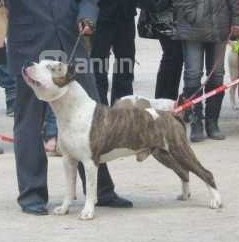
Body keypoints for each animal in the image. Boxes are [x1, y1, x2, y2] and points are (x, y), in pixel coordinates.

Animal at [22, 60, 222, 219]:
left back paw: (216, 201)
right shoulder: (68, 160)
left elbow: (91, 190)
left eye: (50, 67)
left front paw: (87, 212)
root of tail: (172, 114)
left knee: (205, 173)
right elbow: (69, 189)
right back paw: (186, 195)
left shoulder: (89, 162)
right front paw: (63, 209)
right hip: (163, 154)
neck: (72, 110)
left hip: (179, 150)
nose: (28, 64)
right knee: (184, 172)